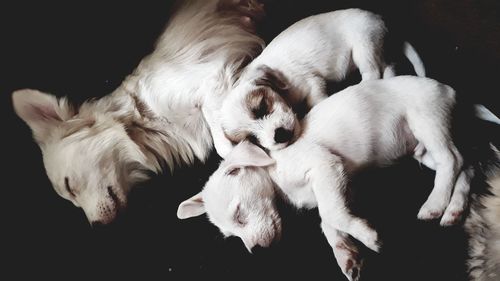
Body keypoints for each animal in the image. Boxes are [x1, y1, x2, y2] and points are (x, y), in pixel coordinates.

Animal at [10, 0, 266, 223]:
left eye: (69, 186)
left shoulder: (213, 78)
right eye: (70, 197)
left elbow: (222, 143)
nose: (97, 225)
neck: (142, 118)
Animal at [215, 8, 426, 155]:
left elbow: (317, 99)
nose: (279, 135)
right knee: (388, 66)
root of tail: (379, 19)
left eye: (262, 107)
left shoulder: (311, 83)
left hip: (364, 45)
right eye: (251, 138)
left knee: (373, 71)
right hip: (376, 49)